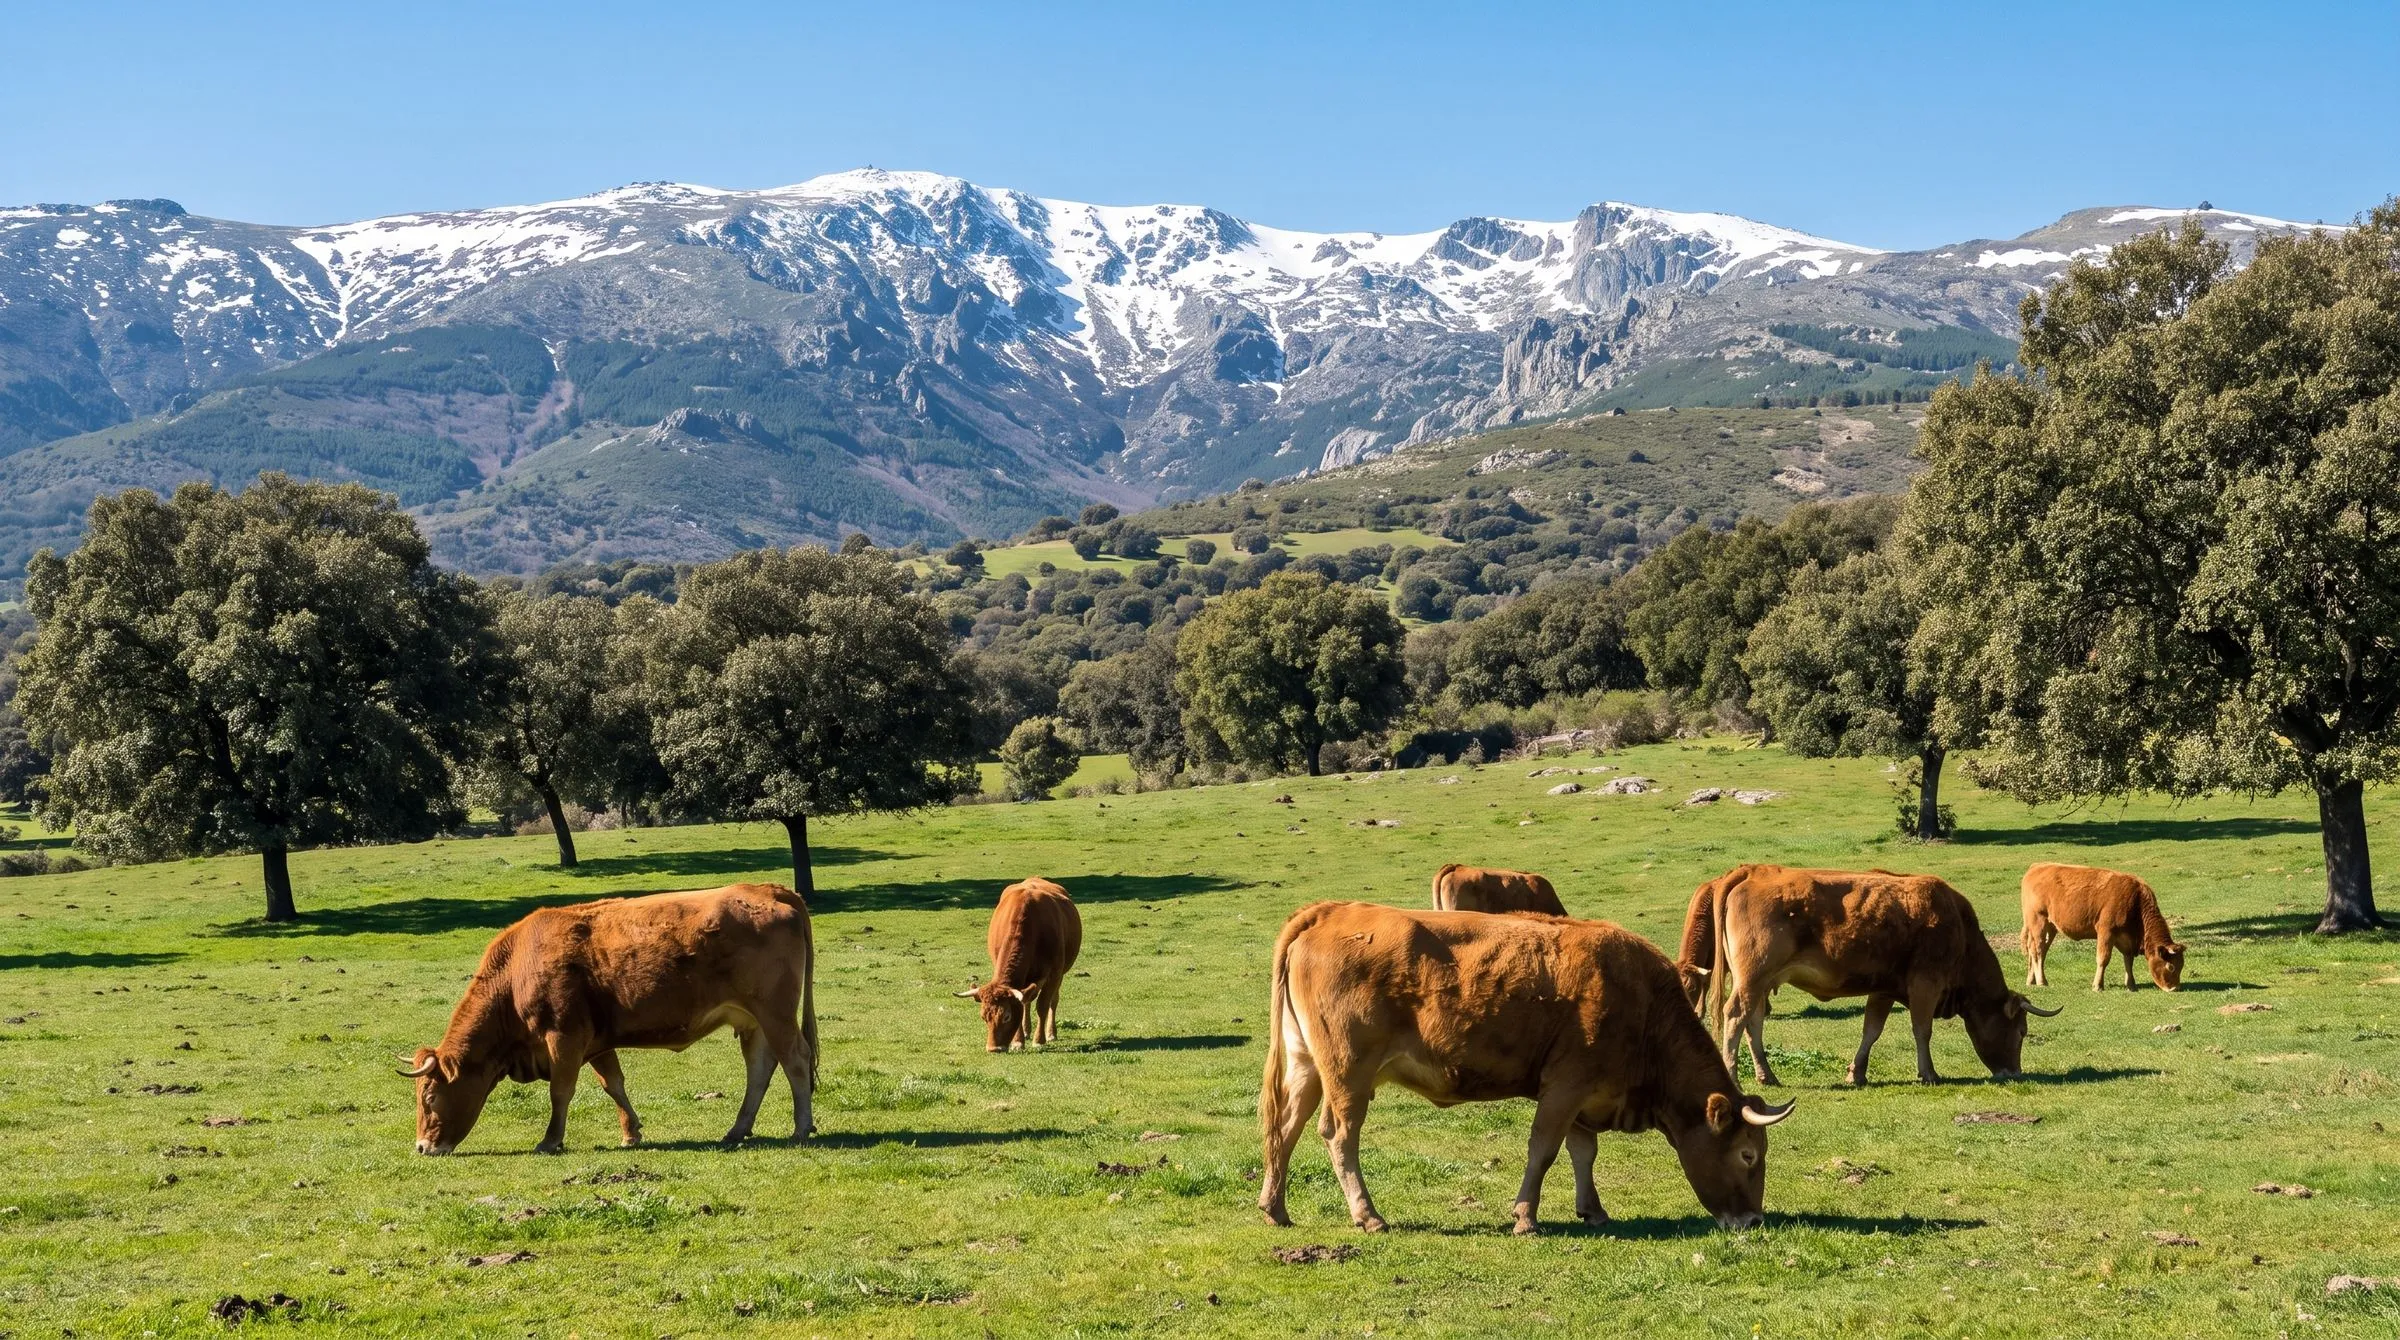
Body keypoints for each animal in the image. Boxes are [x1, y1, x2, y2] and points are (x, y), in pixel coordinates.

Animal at [399, 884, 816, 1155]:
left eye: (430, 1097)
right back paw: (737, 1129)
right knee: (760, 1069)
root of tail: (770, 890)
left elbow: (561, 1091)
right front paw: (631, 1133)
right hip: (752, 1021)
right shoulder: (597, 1042)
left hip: (775, 1014)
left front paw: (550, 1140)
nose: (422, 1147)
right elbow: (613, 1084)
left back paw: (801, 1128)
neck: (517, 972)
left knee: (795, 1060)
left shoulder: (564, 1038)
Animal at [954, 877, 1082, 1052]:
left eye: (1006, 1016)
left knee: (1053, 1001)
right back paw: (1026, 1032)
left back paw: (1051, 1033)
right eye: (983, 1017)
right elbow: (1023, 1004)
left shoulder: (1054, 973)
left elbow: (1043, 1005)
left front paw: (1039, 1040)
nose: (993, 1048)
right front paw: (1018, 1041)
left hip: (1060, 974)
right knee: (1027, 1001)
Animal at [1258, 901, 1794, 1235]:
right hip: (1349, 1073)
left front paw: (1593, 1209)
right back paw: (1367, 1215)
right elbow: (1544, 1151)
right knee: (1339, 1135)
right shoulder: (1565, 1086)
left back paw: (1275, 1208)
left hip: (1307, 1065)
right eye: (1748, 1154)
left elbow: (1583, 1152)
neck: (1642, 1006)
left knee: (1285, 1128)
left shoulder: (1585, 1095)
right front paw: (1525, 1218)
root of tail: (1328, 911)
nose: (1753, 1221)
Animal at [1683, 864, 2059, 1087]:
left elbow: (1871, 1031)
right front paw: (1929, 1073)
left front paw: (1857, 1073)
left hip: (1760, 981)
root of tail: (1751, 872)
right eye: (2021, 1031)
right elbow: (1922, 1030)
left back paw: (1767, 1075)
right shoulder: (1925, 983)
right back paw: (1734, 1077)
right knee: (1736, 1016)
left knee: (1754, 1022)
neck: (1959, 929)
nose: (2015, 1073)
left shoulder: (1884, 989)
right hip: (1752, 977)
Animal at [2020, 862, 2186, 992]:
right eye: (2171, 967)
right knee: (2037, 950)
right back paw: (2041, 981)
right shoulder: (2106, 931)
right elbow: (2103, 958)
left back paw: (2031, 980)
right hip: (2038, 922)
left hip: (2050, 927)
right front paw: (2097, 986)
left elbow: (2128, 961)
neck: (2135, 901)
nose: (2174, 988)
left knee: (2038, 950)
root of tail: (2037, 866)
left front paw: (2131, 985)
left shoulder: (2127, 939)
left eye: (2181, 965)